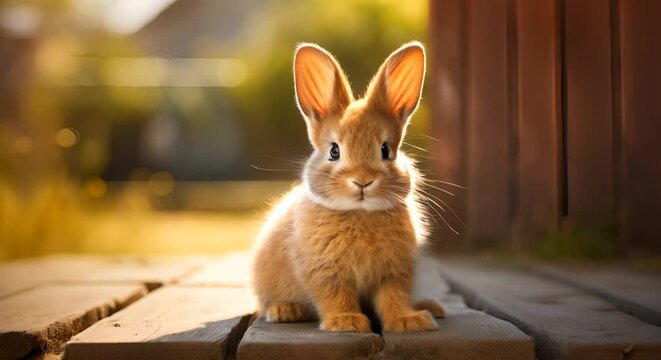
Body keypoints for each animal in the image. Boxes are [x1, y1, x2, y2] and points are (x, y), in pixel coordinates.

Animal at [250, 41, 446, 332]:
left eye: (386, 150)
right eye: (334, 151)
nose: (362, 181)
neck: (360, 213)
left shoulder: (394, 273)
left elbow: (393, 298)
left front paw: (409, 321)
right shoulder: (324, 272)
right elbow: (335, 296)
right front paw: (347, 322)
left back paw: (431, 308)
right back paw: (285, 310)